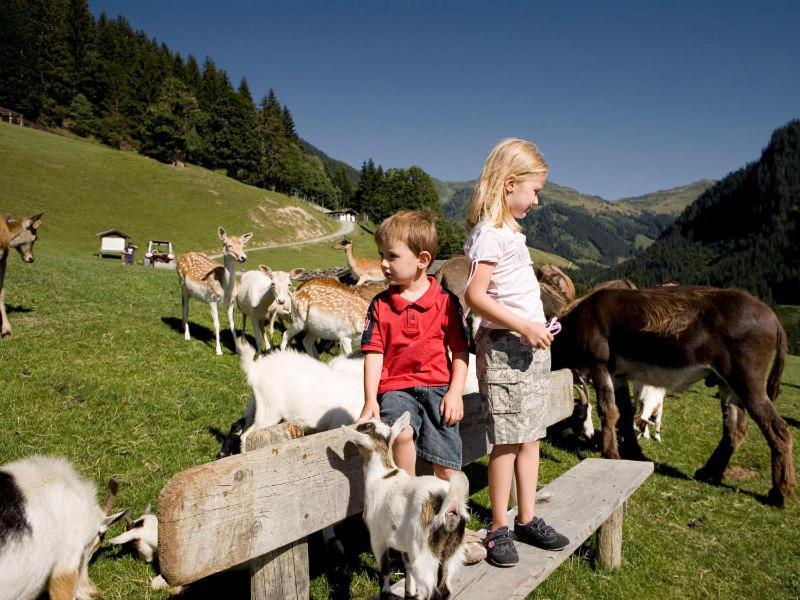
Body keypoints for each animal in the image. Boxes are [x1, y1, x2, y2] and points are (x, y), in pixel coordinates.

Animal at [552, 286, 792, 506]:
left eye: (579, 415)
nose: (587, 436)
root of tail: (774, 318)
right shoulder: (618, 374)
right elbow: (626, 413)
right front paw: (633, 452)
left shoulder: (600, 365)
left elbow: (608, 411)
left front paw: (610, 454)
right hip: (728, 386)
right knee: (735, 430)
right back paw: (709, 473)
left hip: (747, 382)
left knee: (778, 429)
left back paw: (780, 493)